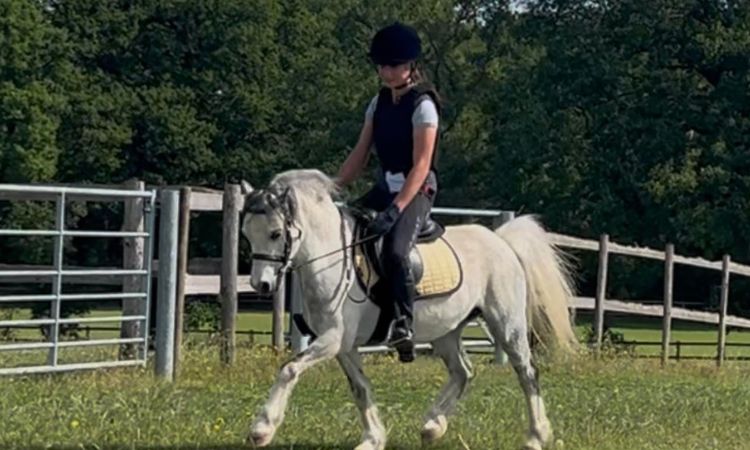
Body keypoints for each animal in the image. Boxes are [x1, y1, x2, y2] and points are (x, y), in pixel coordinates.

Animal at [239, 169, 579, 450]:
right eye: (246, 234)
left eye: (275, 233)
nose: (262, 285)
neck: (331, 258)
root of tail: (500, 240)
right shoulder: (343, 345)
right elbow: (360, 388)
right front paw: (373, 440)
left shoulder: (333, 338)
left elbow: (289, 368)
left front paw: (262, 429)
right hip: (446, 331)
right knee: (462, 372)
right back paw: (432, 427)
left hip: (507, 324)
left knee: (526, 372)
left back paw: (536, 436)